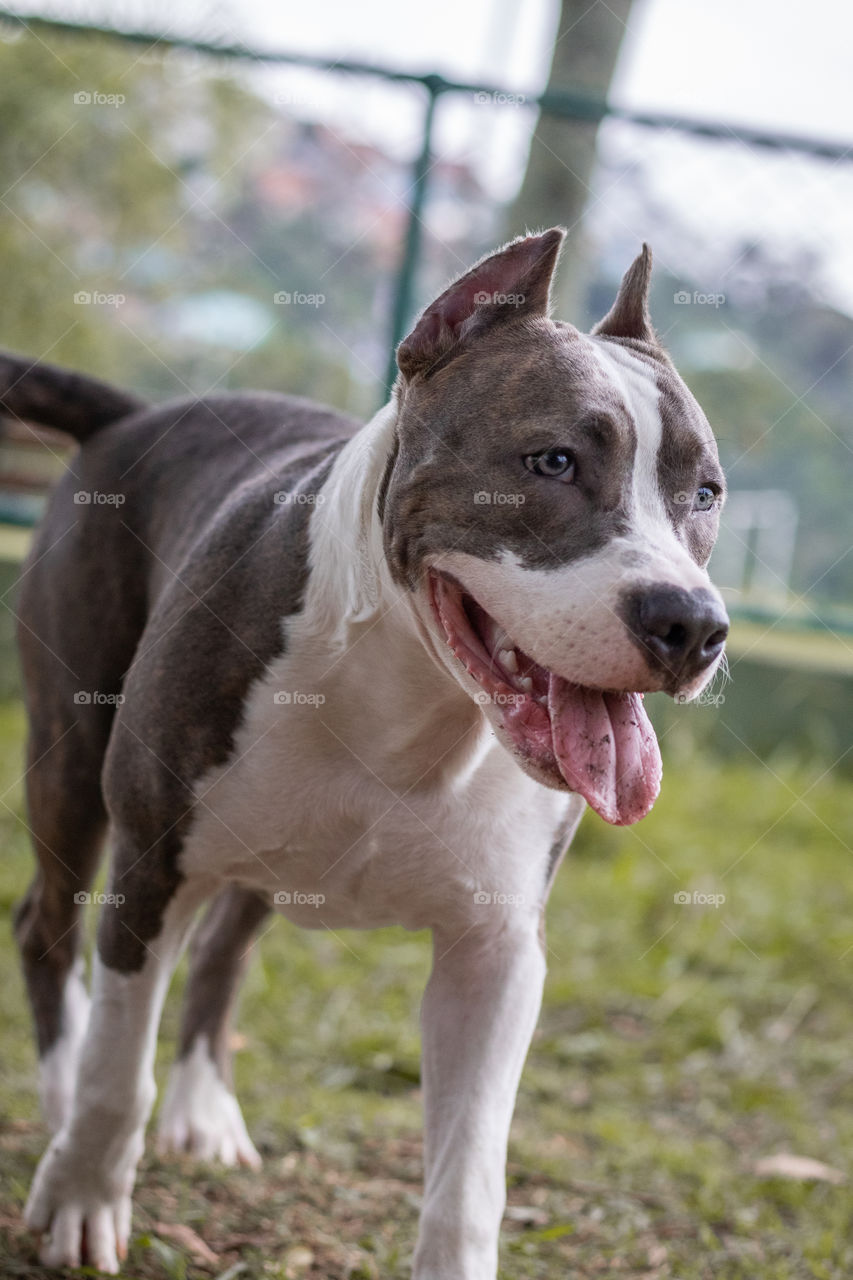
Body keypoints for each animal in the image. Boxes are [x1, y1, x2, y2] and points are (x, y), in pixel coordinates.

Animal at [4, 232, 722, 1280]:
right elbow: (116, 1070)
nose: (692, 624)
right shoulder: (152, 867)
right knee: (48, 928)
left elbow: (468, 1174)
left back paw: (203, 1111)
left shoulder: (493, 955)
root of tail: (132, 414)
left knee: (222, 951)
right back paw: (60, 1103)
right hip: (69, 754)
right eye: (550, 461)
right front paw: (85, 1199)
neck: (414, 700)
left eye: (704, 494)